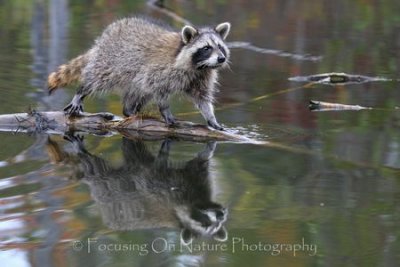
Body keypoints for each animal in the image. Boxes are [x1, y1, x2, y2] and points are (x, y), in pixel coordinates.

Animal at [48, 16, 231, 131]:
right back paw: (82, 91)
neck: (199, 66)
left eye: (220, 47)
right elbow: (158, 90)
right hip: (110, 62)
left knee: (139, 91)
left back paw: (130, 110)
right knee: (97, 79)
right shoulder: (161, 71)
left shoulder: (202, 77)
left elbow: (202, 97)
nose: (221, 58)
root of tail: (103, 39)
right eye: (206, 48)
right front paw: (165, 110)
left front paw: (211, 117)